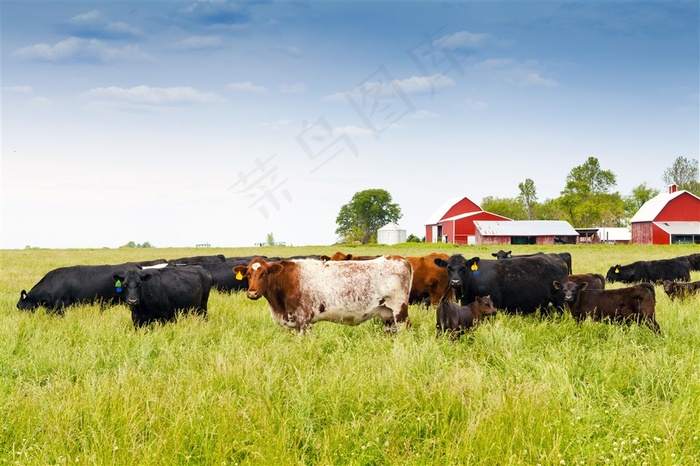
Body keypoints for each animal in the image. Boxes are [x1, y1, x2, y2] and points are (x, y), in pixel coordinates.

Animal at [232, 255, 412, 334]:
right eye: (248, 274)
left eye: (265, 273)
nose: (252, 293)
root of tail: (398, 258)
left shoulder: (303, 321)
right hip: (387, 315)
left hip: (399, 311)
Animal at [434, 253, 568, 314]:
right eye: (448, 268)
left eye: (463, 268)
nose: (455, 281)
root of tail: (556, 260)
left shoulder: (494, 302)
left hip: (561, 300)